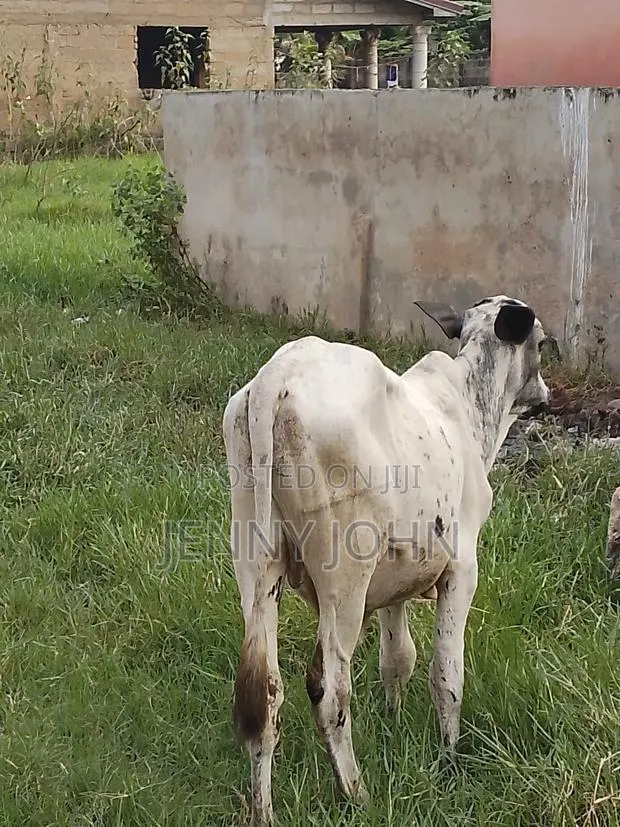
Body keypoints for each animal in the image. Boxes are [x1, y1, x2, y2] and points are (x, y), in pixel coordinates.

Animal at [222, 295, 551, 825]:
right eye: (542, 342)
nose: (545, 395)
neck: (467, 410)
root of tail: (277, 374)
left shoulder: (396, 581)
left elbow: (398, 658)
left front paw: (394, 724)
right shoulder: (462, 571)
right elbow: (447, 673)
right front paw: (448, 756)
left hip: (256, 564)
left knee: (264, 694)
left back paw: (264, 810)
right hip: (344, 578)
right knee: (329, 689)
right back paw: (356, 793)